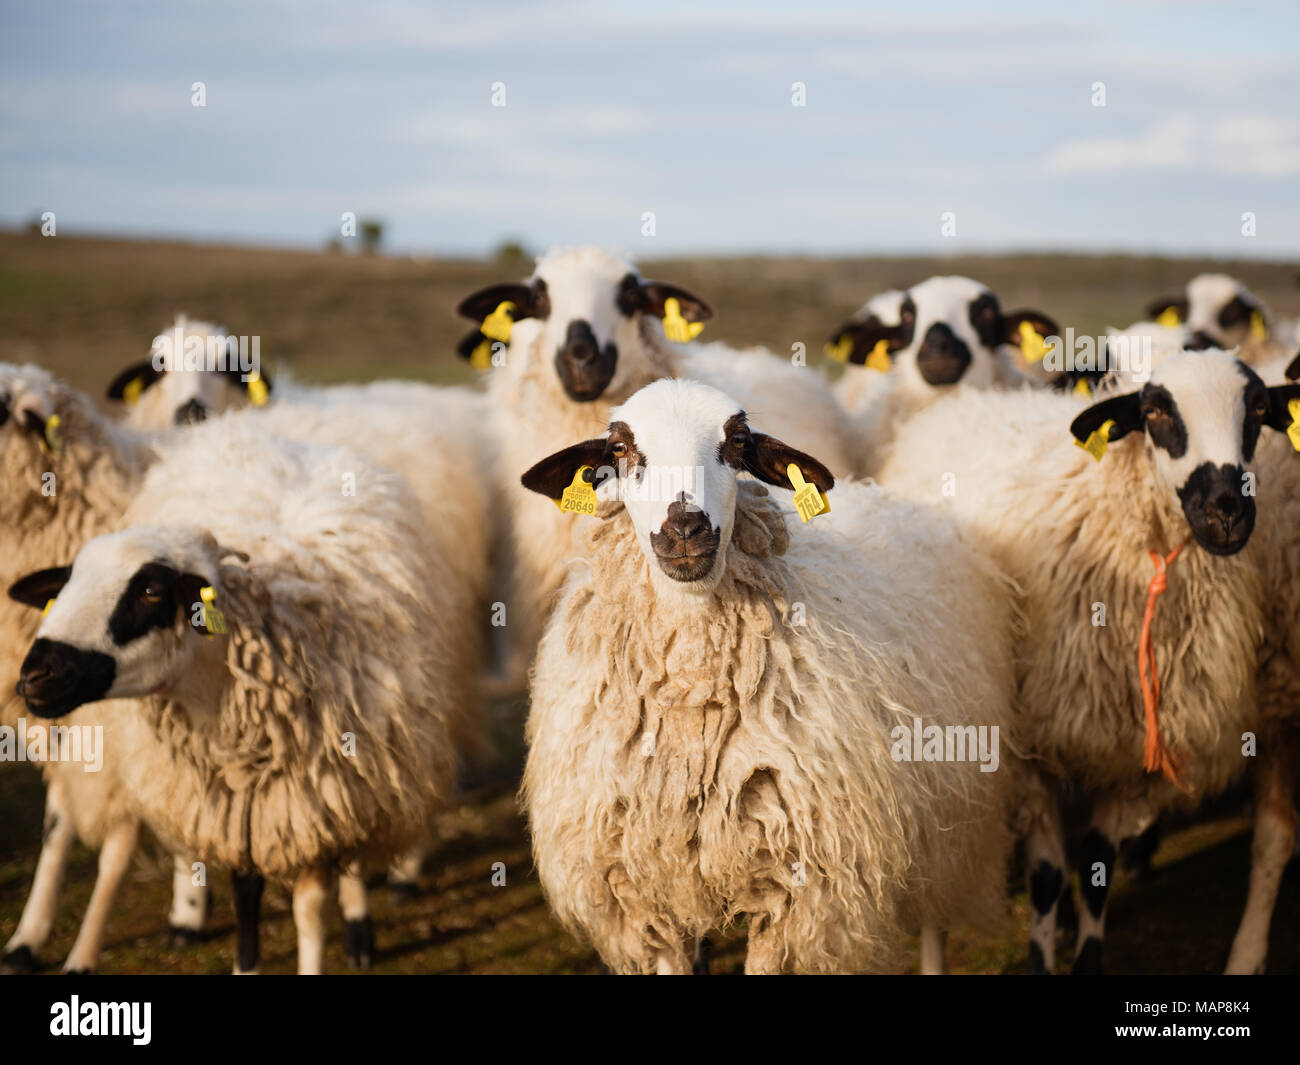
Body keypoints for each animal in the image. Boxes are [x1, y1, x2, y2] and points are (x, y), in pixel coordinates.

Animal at [9, 418, 464, 974]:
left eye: (151, 591)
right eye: (67, 584)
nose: (35, 677)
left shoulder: (309, 802)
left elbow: (310, 906)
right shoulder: (235, 807)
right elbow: (245, 894)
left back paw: (359, 927)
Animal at [518, 377, 1019, 974]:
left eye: (736, 443)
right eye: (619, 448)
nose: (684, 528)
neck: (692, 706)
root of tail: (880, 492)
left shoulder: (803, 895)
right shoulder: (639, 893)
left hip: (950, 820)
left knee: (934, 921)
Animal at [874, 349, 1300, 973]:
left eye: (1260, 410)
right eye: (1155, 411)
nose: (1227, 512)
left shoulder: (1133, 753)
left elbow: (1096, 865)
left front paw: (1086, 953)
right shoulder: (1031, 748)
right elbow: (1049, 876)